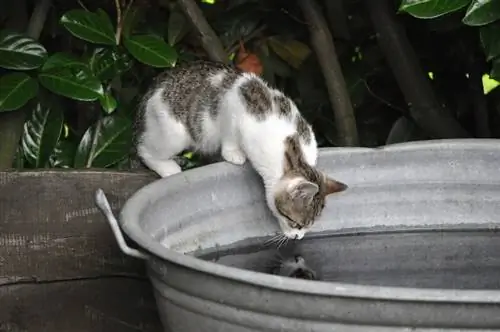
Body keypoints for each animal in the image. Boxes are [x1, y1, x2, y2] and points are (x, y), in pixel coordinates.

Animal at [135, 61, 350, 240]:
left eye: (309, 226)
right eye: (295, 223)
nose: (298, 237)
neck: (291, 149)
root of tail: (159, 80)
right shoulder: (233, 105)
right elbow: (230, 131)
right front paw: (233, 153)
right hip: (174, 132)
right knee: (144, 148)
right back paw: (167, 167)